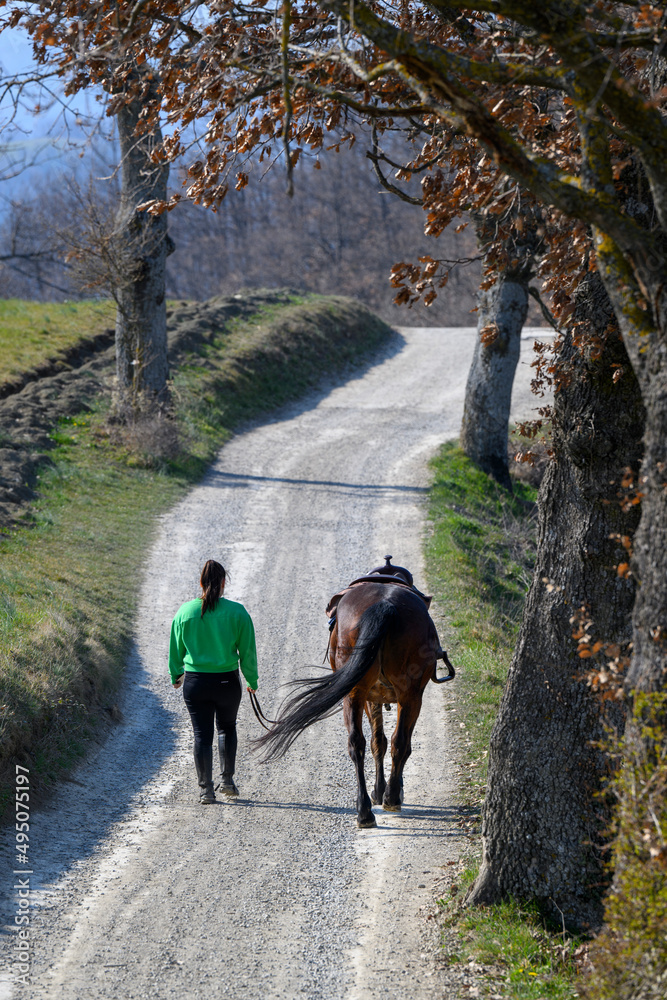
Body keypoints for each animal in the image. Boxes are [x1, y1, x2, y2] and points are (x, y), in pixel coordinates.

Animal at [254, 556, 455, 828]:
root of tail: (384, 605)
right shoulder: (380, 699)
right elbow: (383, 741)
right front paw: (383, 790)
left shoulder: (374, 697)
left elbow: (377, 741)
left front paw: (378, 791)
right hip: (408, 695)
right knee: (399, 741)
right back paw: (391, 798)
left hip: (356, 693)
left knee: (357, 743)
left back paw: (365, 810)